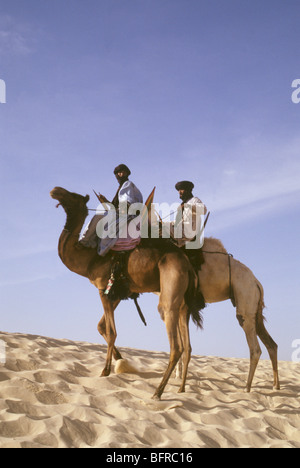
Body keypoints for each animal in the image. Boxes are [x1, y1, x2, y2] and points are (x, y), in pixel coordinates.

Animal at [50, 186, 203, 398]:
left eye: (73, 196)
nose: (55, 190)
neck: (90, 260)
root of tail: (188, 265)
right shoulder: (116, 292)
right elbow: (101, 326)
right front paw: (120, 360)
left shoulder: (103, 288)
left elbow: (112, 331)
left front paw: (106, 370)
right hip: (184, 304)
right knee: (187, 346)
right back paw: (180, 389)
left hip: (170, 293)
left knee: (176, 344)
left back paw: (157, 393)